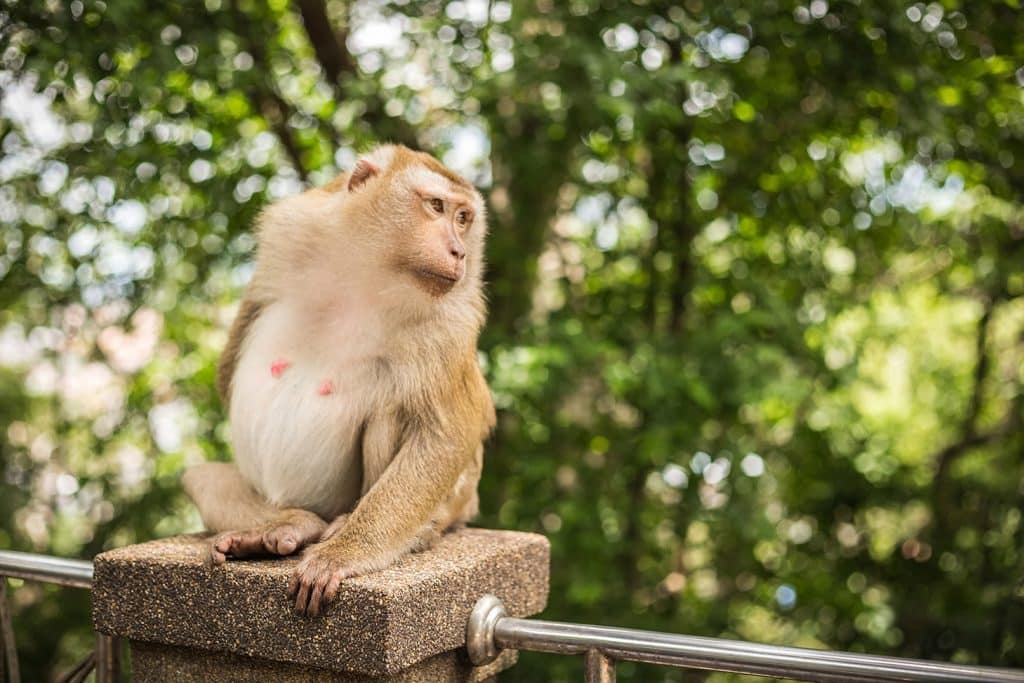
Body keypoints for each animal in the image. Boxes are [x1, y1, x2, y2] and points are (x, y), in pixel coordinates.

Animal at [183, 145, 495, 618]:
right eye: (437, 206)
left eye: (464, 218)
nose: (460, 251)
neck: (368, 272)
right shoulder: (290, 234)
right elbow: (227, 368)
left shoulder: (451, 320)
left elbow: (447, 432)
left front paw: (344, 554)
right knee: (200, 479)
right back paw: (290, 525)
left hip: (458, 498)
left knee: (394, 408)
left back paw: (392, 530)